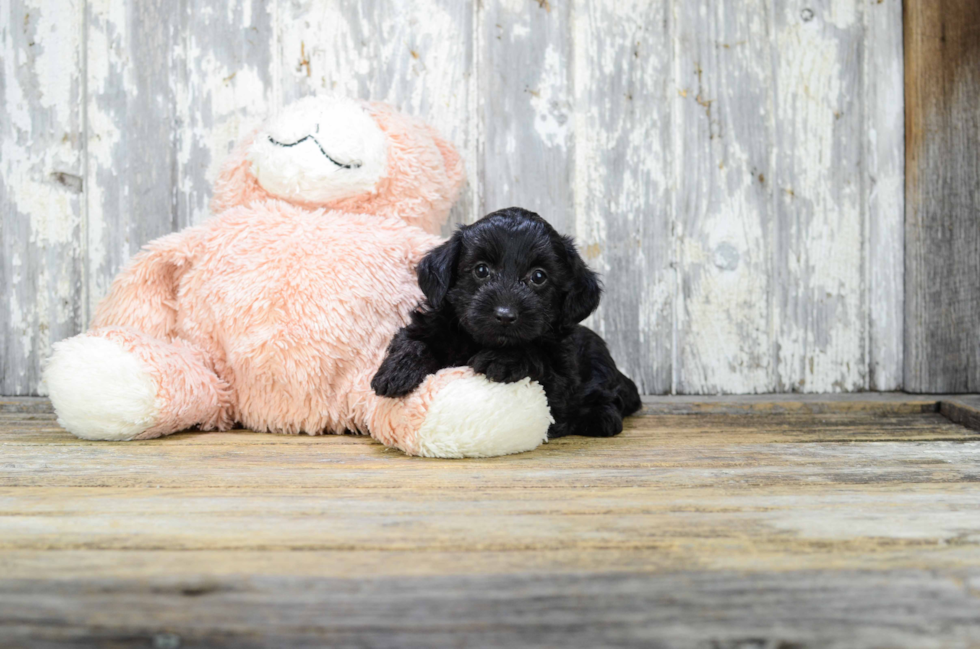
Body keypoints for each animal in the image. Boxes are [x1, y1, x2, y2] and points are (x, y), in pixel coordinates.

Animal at [372, 206, 640, 440]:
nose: (505, 315)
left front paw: (502, 359)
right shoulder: (434, 324)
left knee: (609, 396)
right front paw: (397, 370)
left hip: (597, 360)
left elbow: (535, 359)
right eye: (481, 270)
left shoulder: (560, 380)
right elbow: (413, 339)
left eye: (539, 276)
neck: (477, 341)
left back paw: (600, 417)